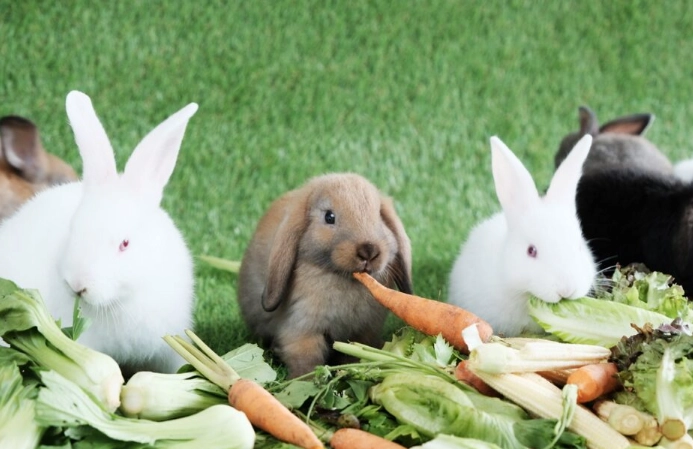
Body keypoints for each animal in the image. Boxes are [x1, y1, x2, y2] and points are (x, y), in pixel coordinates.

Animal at [237, 173, 413, 378]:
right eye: (329, 217)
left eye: (379, 215)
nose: (368, 251)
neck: (345, 279)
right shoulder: (302, 329)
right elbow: (306, 360)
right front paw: (305, 381)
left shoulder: (364, 331)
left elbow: (355, 355)